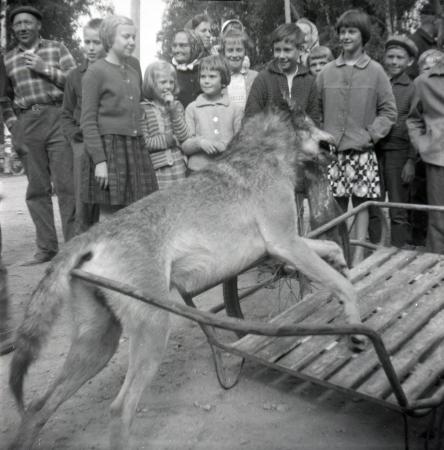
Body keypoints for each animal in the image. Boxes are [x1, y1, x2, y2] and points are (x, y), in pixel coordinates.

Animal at [8, 107, 365, 449]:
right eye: (314, 120)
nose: (335, 141)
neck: (261, 152)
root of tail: (90, 236)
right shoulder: (284, 243)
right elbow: (344, 286)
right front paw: (356, 329)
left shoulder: (283, 247)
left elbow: (332, 249)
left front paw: (341, 262)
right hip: (152, 332)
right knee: (120, 409)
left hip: (98, 344)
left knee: (37, 407)